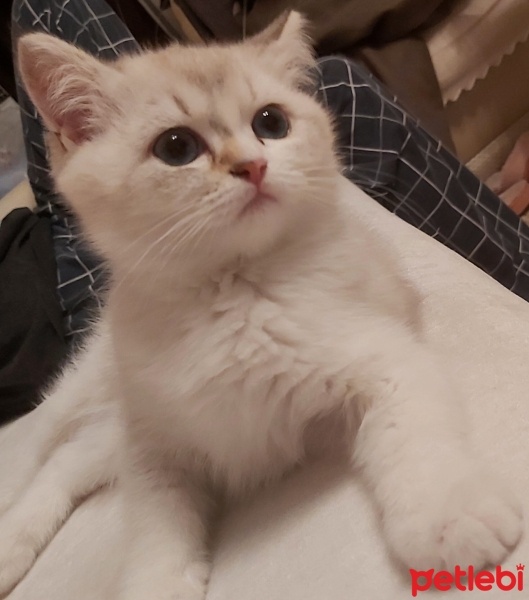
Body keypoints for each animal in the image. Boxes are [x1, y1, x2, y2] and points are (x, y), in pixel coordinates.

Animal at [0, 10, 520, 600]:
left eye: (271, 123)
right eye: (176, 148)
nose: (252, 166)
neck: (233, 297)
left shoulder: (387, 357)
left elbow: (414, 439)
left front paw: (448, 517)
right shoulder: (153, 442)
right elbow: (156, 524)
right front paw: (159, 582)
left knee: (72, 455)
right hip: (107, 398)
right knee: (56, 453)